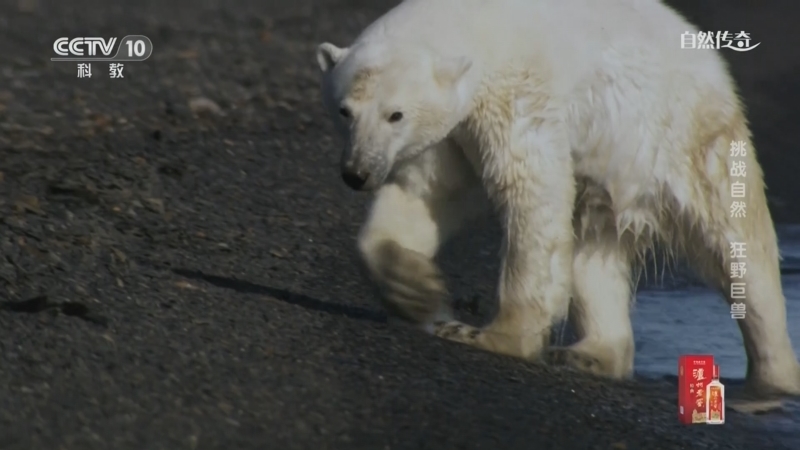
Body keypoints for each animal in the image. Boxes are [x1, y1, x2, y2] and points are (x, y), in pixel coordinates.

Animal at [314, 0, 800, 394]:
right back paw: (590, 353)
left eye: (395, 114)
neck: (474, 26)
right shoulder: (449, 136)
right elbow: (425, 194)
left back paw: (774, 376)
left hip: (683, 139)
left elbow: (530, 192)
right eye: (345, 110)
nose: (357, 172)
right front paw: (416, 290)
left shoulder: (516, 92)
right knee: (593, 253)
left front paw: (490, 336)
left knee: (738, 249)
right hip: (610, 180)